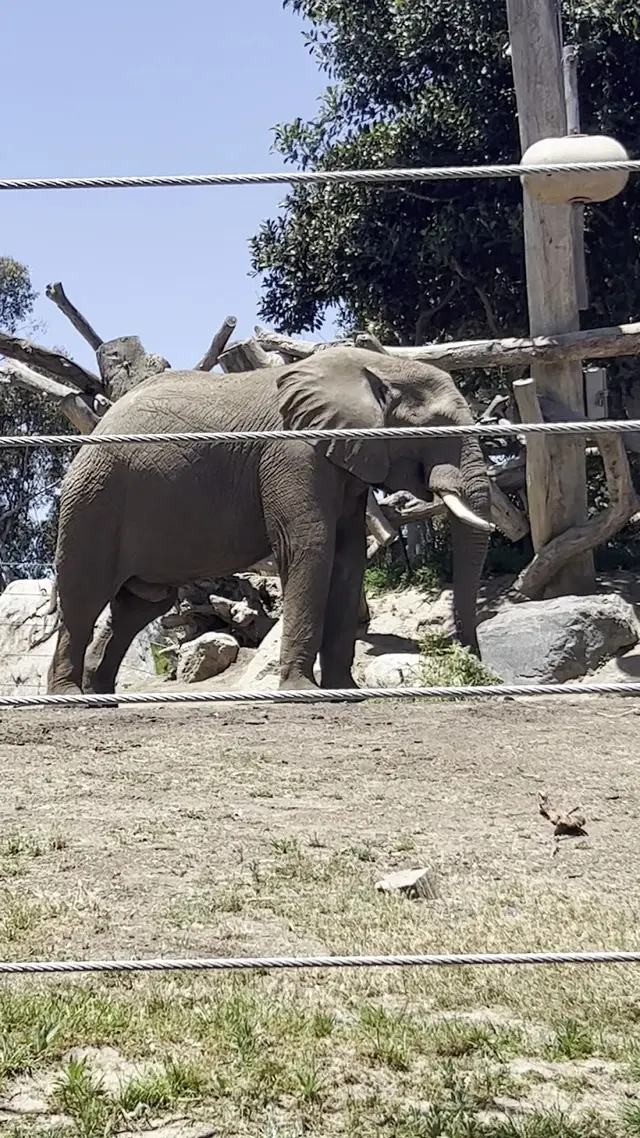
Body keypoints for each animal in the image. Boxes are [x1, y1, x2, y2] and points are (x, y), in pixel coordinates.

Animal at [47, 346, 493, 696]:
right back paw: (71, 697)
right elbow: (310, 546)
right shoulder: (293, 453)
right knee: (85, 595)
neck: (376, 367)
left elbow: (348, 556)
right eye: (439, 428)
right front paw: (301, 692)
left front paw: (343, 691)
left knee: (137, 606)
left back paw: (102, 695)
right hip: (94, 497)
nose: (472, 668)